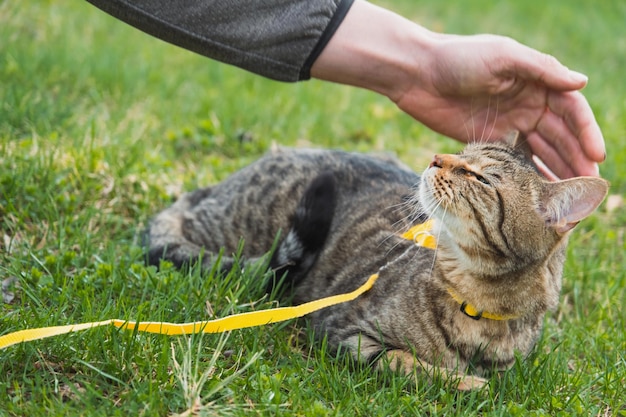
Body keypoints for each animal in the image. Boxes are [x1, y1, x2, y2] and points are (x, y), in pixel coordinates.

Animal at [145, 132, 604, 388]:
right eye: (460, 152)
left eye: (480, 177)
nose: (436, 157)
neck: (476, 304)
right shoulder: (345, 332)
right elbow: (408, 363)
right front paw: (464, 382)